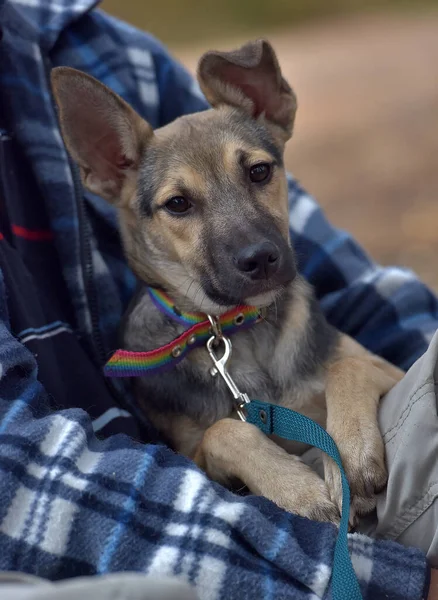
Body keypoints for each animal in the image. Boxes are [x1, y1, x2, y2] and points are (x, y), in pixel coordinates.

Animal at [50, 39, 404, 524]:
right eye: (178, 204)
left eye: (259, 171)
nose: (260, 259)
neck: (237, 333)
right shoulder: (190, 455)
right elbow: (224, 430)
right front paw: (296, 489)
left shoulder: (390, 369)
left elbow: (346, 367)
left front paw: (349, 456)